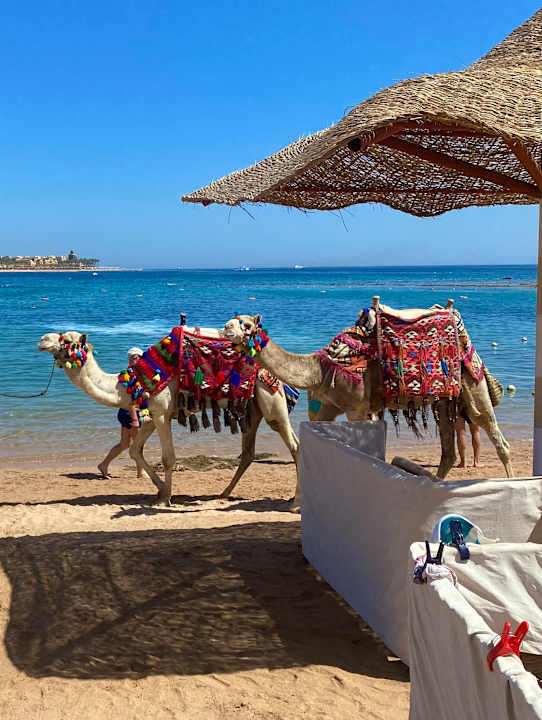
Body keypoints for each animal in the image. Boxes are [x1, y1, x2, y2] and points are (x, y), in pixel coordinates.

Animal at [37, 330, 300, 508]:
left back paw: (294, 502)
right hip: (251, 410)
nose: (42, 339)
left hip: (271, 402)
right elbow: (135, 450)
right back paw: (224, 493)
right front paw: (160, 491)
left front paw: (165, 498)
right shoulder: (151, 416)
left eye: (67, 340)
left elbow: (168, 458)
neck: (131, 384)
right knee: (248, 453)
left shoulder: (163, 413)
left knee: (295, 445)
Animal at [223, 306, 513, 489]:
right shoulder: (326, 407)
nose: (226, 328)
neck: (320, 368)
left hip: (472, 384)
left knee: (496, 436)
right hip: (444, 399)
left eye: (246, 324)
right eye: (232, 321)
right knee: (448, 452)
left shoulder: (357, 408)